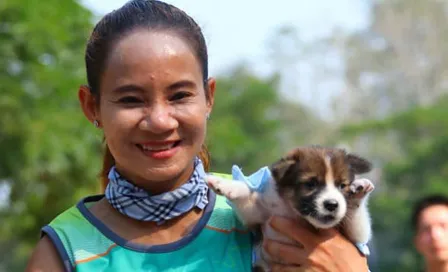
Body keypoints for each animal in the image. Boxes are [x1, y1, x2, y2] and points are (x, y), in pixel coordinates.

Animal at [206, 144, 374, 270]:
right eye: (311, 184)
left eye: (342, 185)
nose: (332, 204)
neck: (295, 214)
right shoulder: (258, 214)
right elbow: (246, 192)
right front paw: (224, 184)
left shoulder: (356, 237)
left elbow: (358, 226)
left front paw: (358, 190)